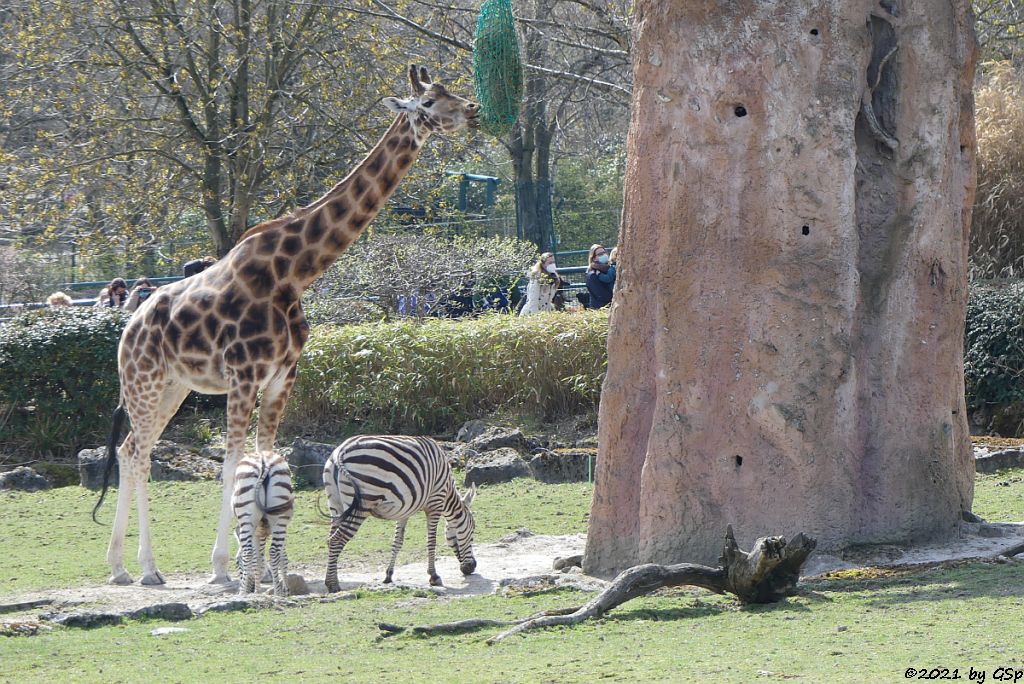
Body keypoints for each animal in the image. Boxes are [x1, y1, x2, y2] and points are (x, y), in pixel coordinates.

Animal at [231, 450, 294, 593]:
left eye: (237, 563)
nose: (250, 588)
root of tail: (263, 459)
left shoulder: (257, 532)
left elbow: (257, 560)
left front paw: (257, 591)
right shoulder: (270, 530)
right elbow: (278, 557)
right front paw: (285, 588)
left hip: (247, 518)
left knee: (248, 551)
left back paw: (243, 593)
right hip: (279, 517)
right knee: (274, 551)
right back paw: (278, 592)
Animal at [321, 436, 477, 589]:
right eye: (472, 531)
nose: (472, 567)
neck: (447, 495)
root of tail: (341, 450)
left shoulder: (404, 511)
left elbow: (397, 542)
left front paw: (389, 575)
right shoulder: (435, 502)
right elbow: (431, 541)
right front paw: (434, 576)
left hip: (335, 504)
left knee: (330, 539)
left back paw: (331, 579)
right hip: (363, 502)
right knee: (336, 539)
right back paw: (333, 584)